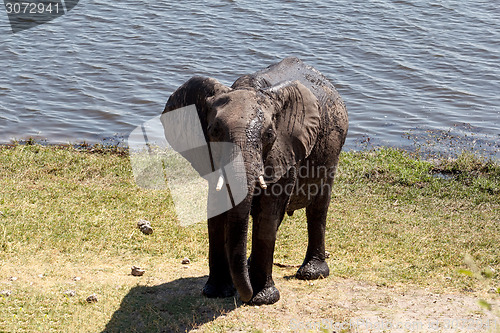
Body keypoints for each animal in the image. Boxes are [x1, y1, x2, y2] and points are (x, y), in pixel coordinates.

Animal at [160, 56, 348, 304]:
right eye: (214, 132)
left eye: (269, 135)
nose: (244, 296)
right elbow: (217, 208)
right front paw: (217, 292)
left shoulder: (286, 149)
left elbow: (268, 212)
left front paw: (263, 298)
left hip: (333, 149)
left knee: (317, 207)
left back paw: (311, 273)